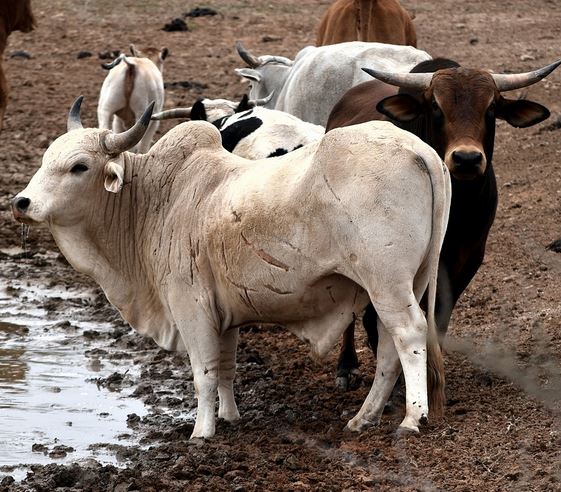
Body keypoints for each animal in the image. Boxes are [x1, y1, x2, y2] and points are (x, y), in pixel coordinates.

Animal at [12, 96, 450, 438]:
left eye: (79, 166)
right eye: (47, 158)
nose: (22, 202)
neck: (154, 199)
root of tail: (418, 150)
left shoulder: (191, 307)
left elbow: (203, 374)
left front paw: (201, 432)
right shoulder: (223, 312)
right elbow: (225, 367)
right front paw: (229, 417)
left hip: (387, 283)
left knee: (408, 334)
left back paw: (412, 418)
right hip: (409, 282)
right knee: (390, 347)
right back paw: (364, 417)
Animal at [326, 56, 556, 388]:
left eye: (491, 107)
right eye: (435, 106)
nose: (467, 159)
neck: (457, 207)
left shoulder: (467, 259)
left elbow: (439, 318)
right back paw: (346, 365)